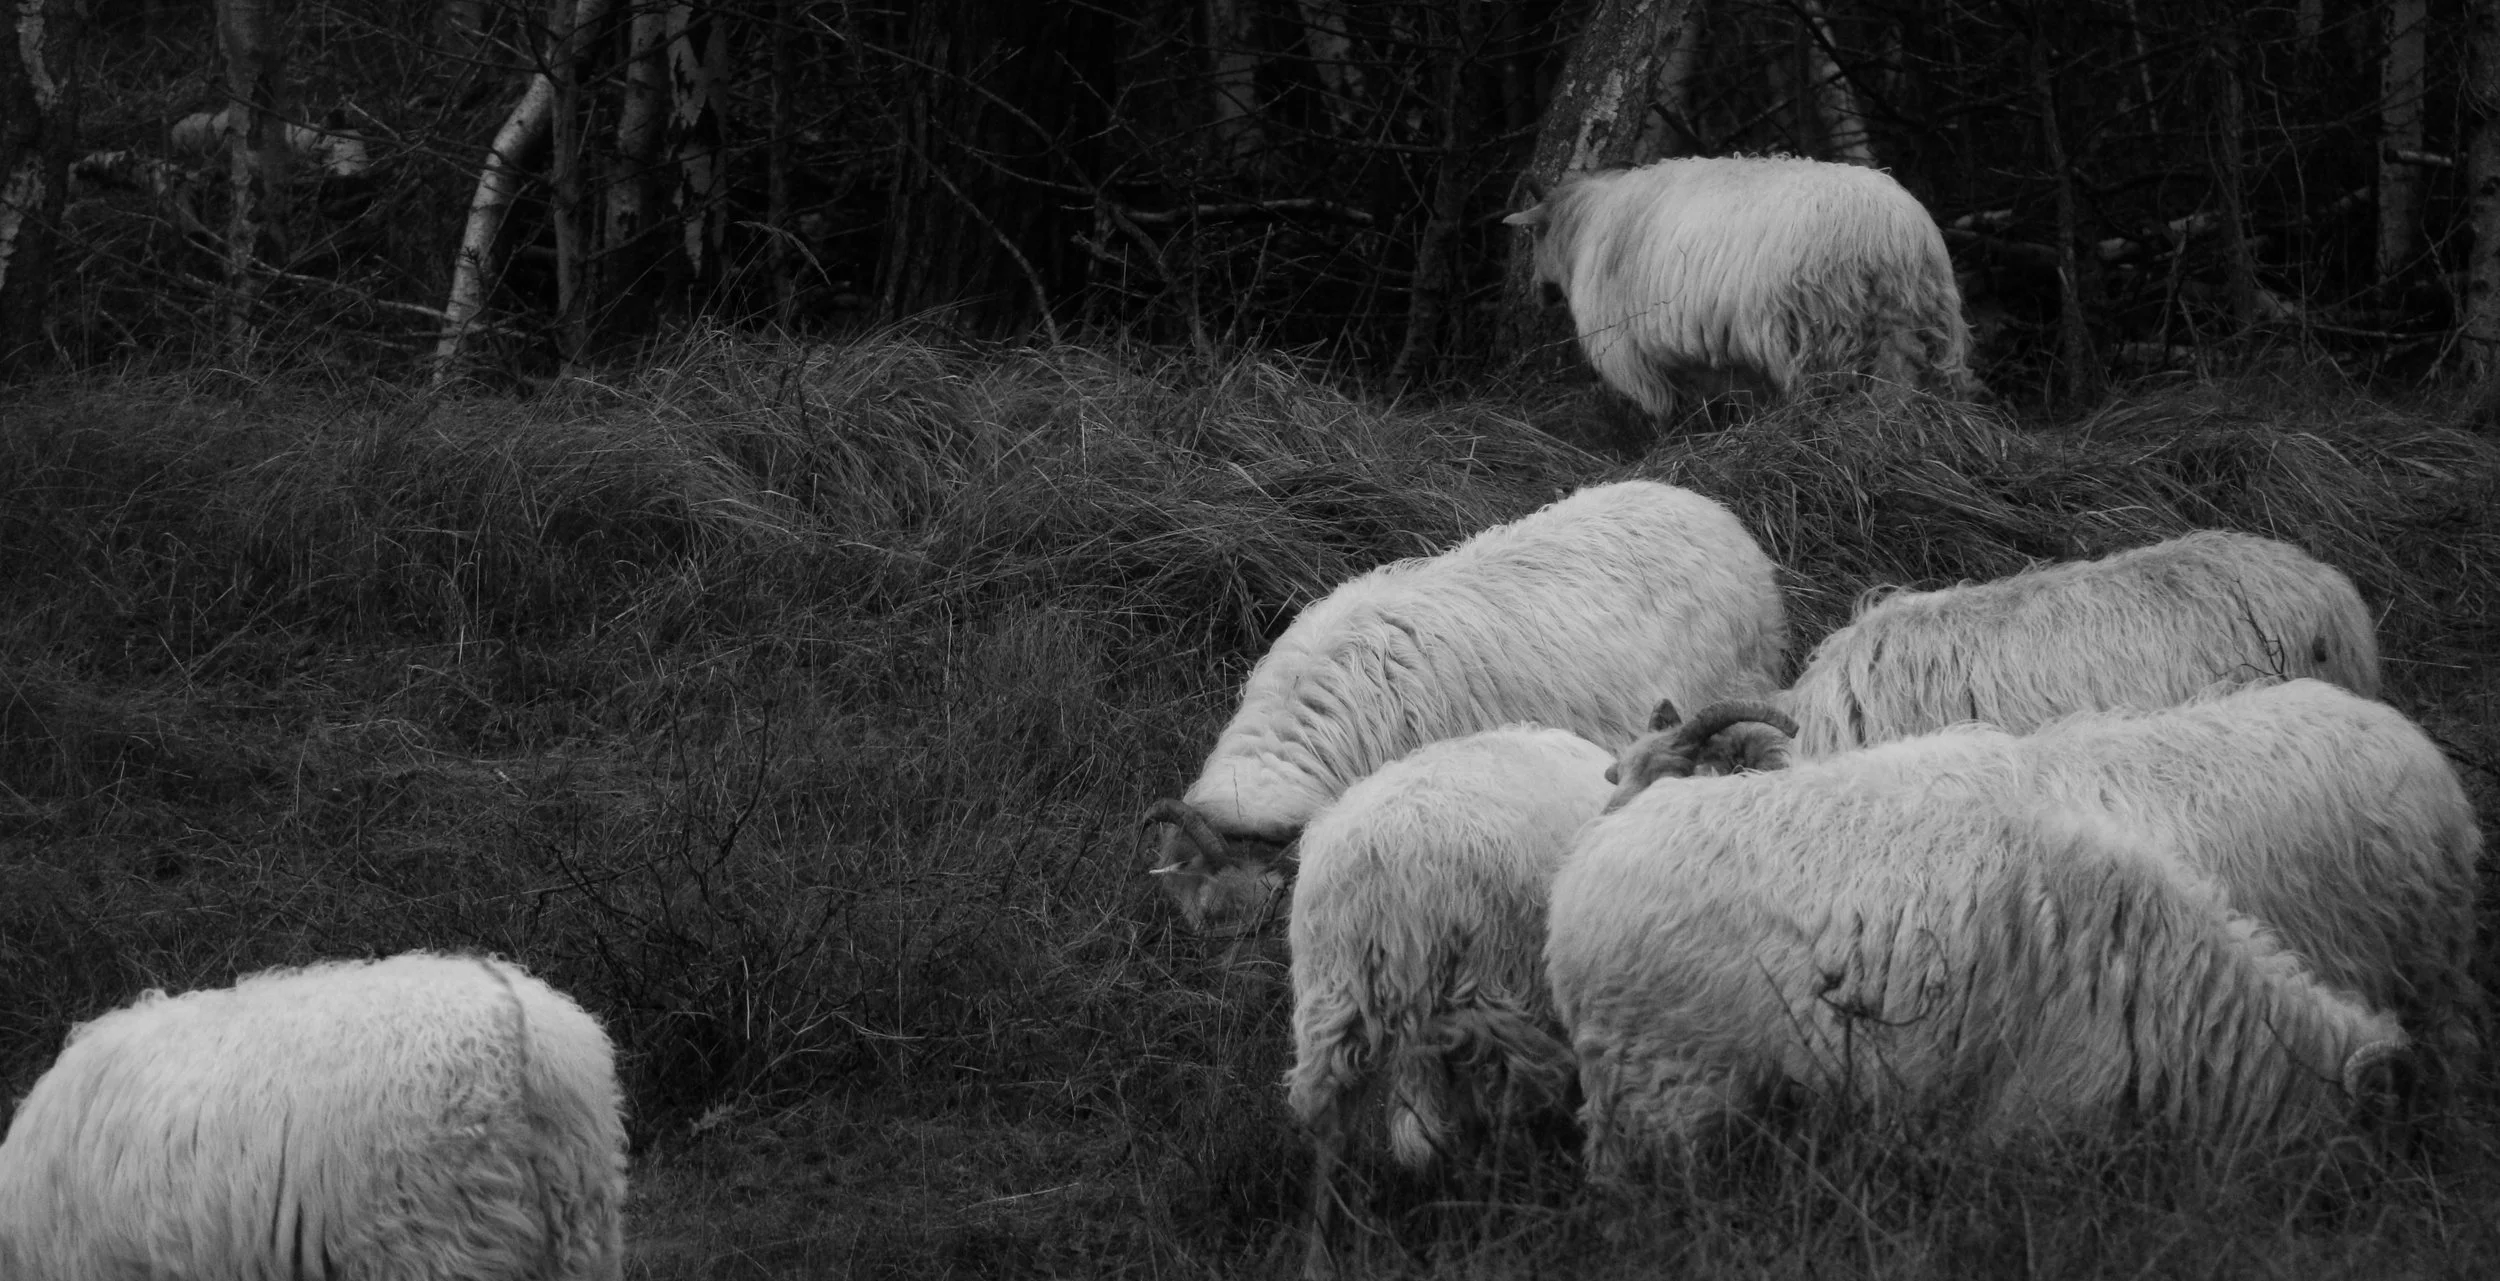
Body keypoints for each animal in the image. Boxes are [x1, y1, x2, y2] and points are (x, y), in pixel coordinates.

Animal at [1285, 725, 1614, 1280]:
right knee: (1485, 1112)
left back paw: (1322, 1255)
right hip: (1487, 977)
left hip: (1332, 997)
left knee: (1334, 1128)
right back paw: (1485, 1226)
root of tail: (1389, 882)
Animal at [1502, 156, 1975, 418]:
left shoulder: (1628, 352)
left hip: (1819, 336)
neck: (1584, 224)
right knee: (1909, 390)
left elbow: (1663, 416)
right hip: (1917, 325)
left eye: (1535, 235)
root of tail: (1887, 234)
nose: (1537, 292)